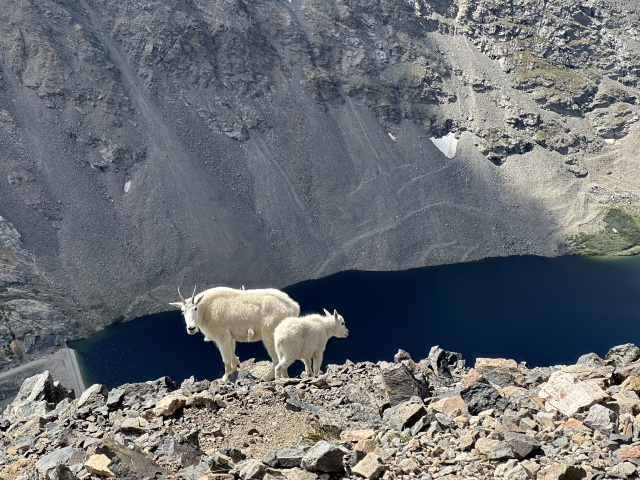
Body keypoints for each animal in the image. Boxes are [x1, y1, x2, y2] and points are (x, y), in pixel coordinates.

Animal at [170, 286, 300, 381]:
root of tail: (294, 307)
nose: (191, 328)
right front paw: (235, 368)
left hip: (270, 335)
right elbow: (232, 354)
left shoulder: (222, 337)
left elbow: (226, 359)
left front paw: (225, 378)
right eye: (182, 311)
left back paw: (267, 377)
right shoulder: (230, 337)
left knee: (277, 359)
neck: (206, 311)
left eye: (195, 308)